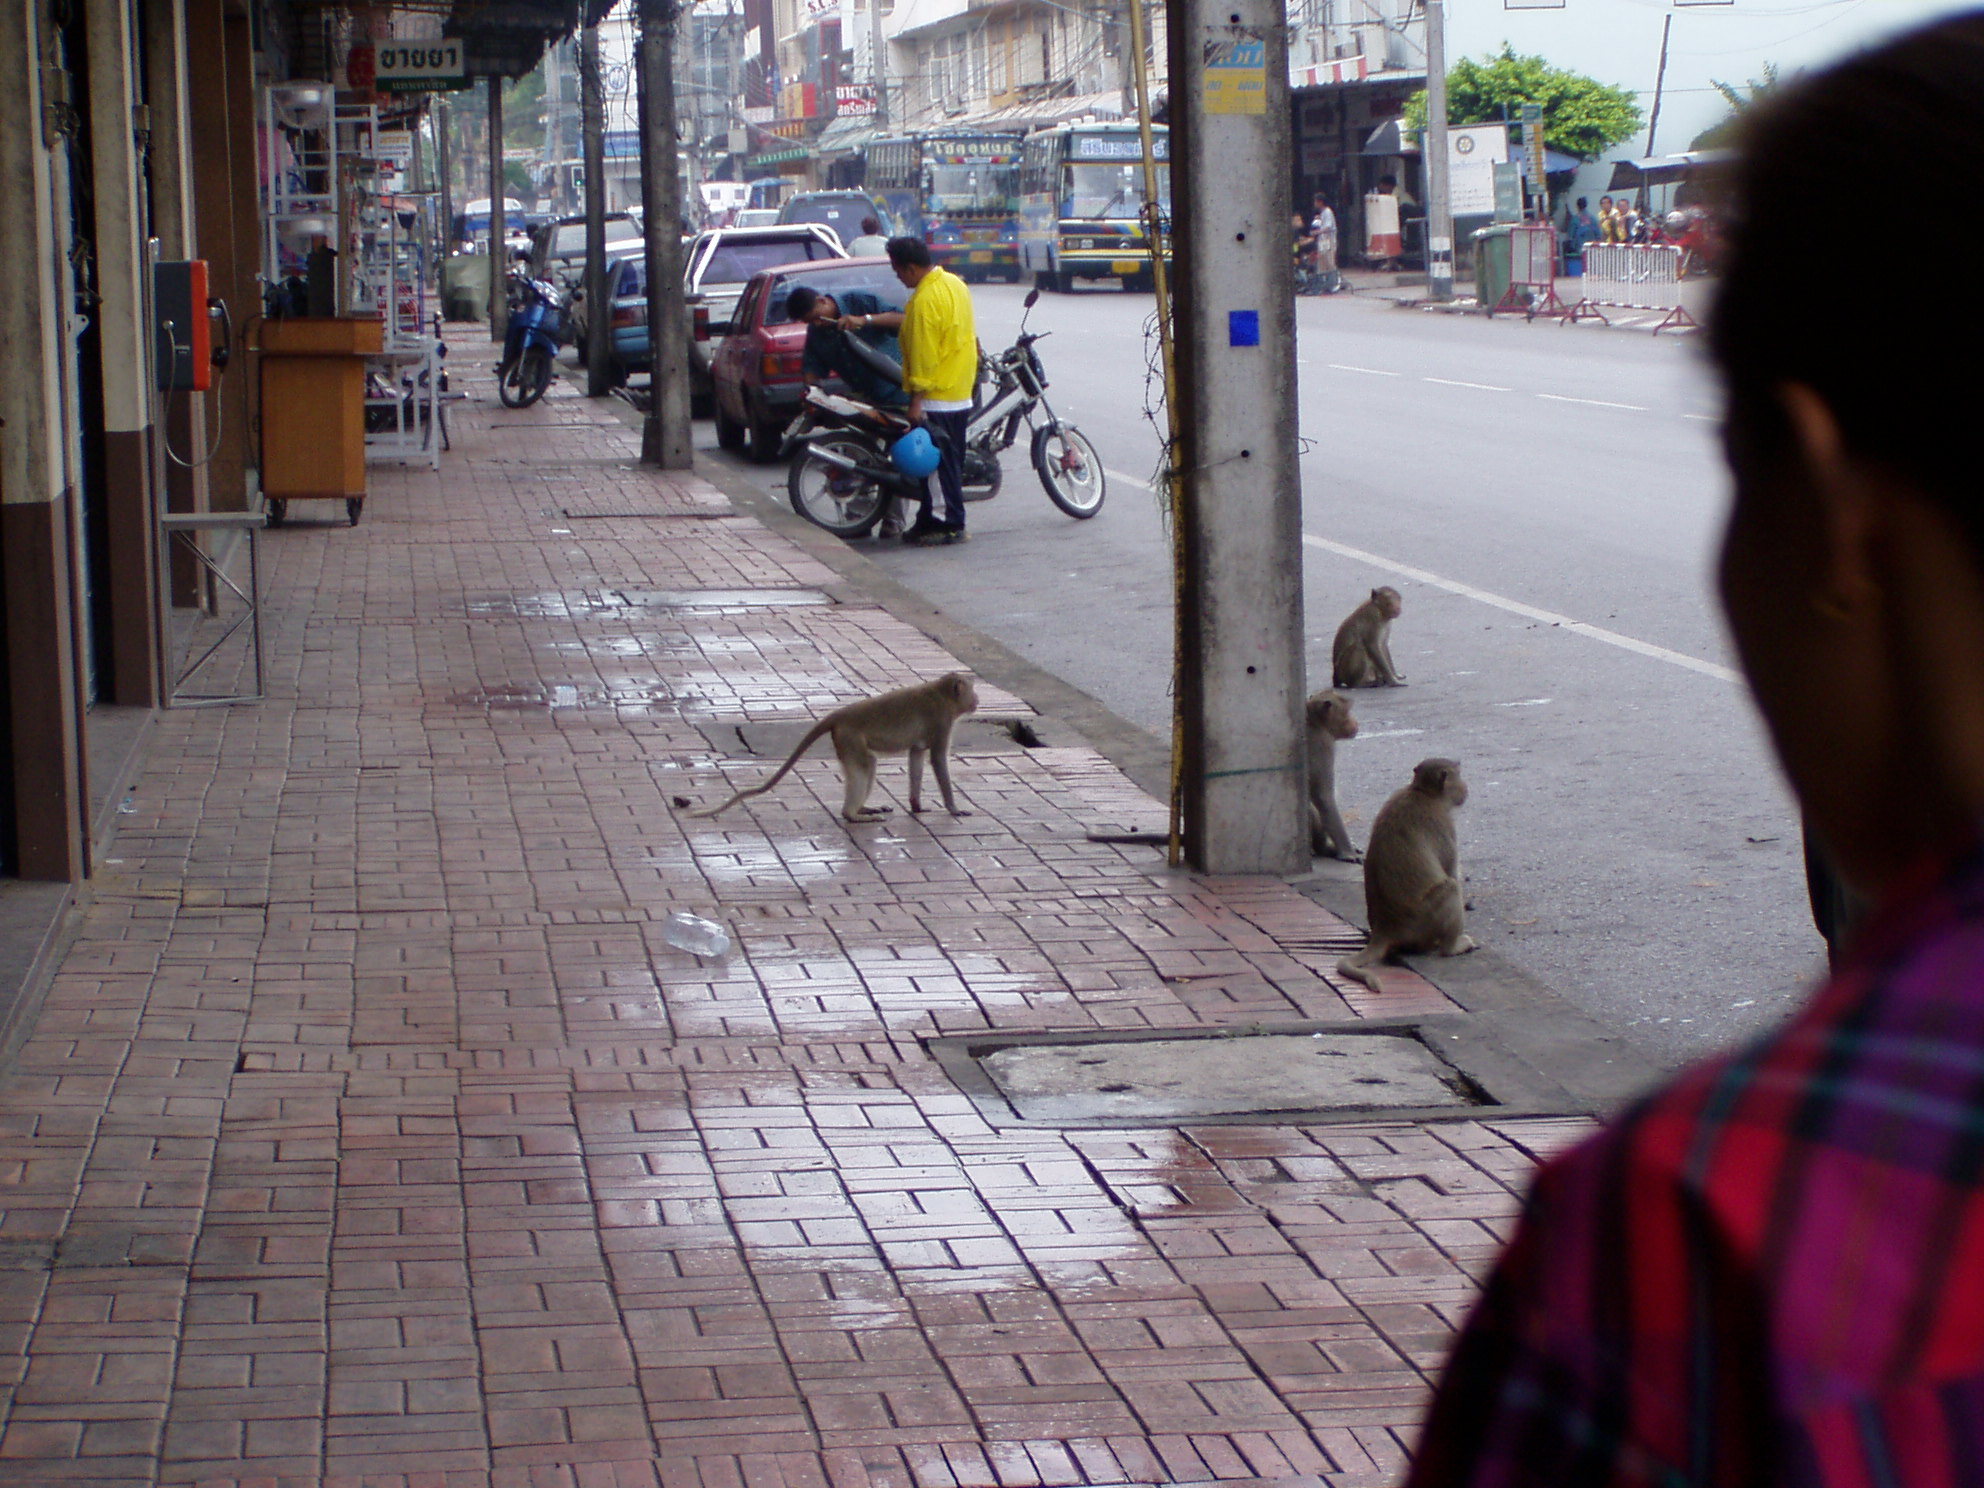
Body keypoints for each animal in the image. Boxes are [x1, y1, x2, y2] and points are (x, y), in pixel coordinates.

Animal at [694, 674, 980, 829]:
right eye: (972, 690)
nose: (977, 699)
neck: (942, 694)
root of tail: (840, 714)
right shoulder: (941, 721)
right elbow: (937, 759)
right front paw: (954, 808)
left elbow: (917, 756)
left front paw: (916, 806)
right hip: (849, 738)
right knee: (866, 764)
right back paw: (851, 815)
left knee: (867, 766)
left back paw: (862, 809)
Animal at [1301, 690, 1364, 861]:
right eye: (1347, 711)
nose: (1356, 721)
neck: (1315, 722)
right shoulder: (1324, 745)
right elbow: (1323, 798)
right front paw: (1348, 853)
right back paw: (1324, 848)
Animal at [1333, 761, 1476, 995]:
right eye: (1459, 775)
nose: (1466, 788)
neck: (1422, 792)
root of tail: (1385, 929)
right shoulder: (1444, 824)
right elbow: (1451, 872)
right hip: (1424, 923)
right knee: (1450, 887)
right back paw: (1451, 947)